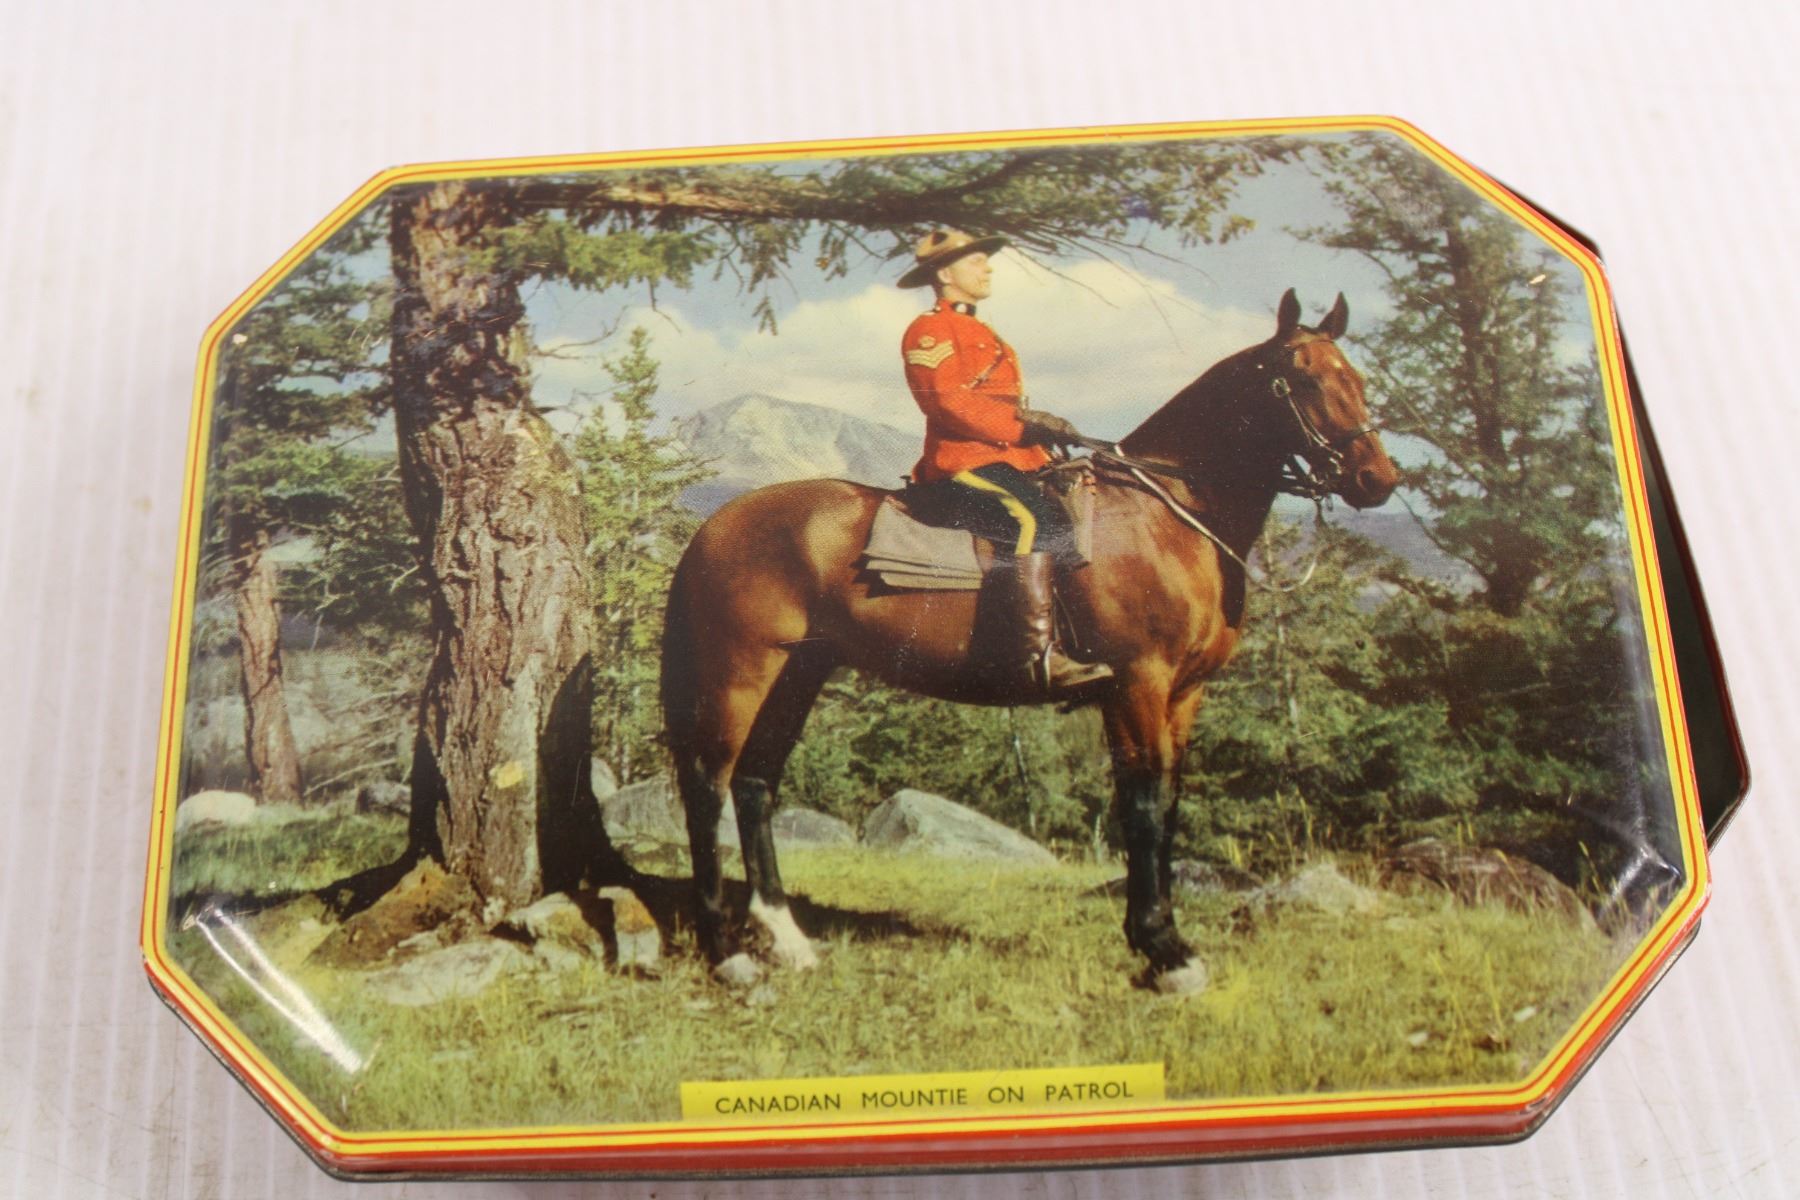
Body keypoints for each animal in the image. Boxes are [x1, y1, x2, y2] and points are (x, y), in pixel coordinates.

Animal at [659, 289, 1400, 992]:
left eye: (1358, 376)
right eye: (1301, 378)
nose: (1379, 479)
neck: (1162, 518)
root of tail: (714, 526)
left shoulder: (1185, 694)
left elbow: (1169, 804)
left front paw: (1166, 941)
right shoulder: (1137, 685)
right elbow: (1143, 806)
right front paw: (1162, 949)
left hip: (799, 674)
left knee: (755, 784)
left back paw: (785, 937)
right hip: (739, 674)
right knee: (706, 788)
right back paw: (726, 951)